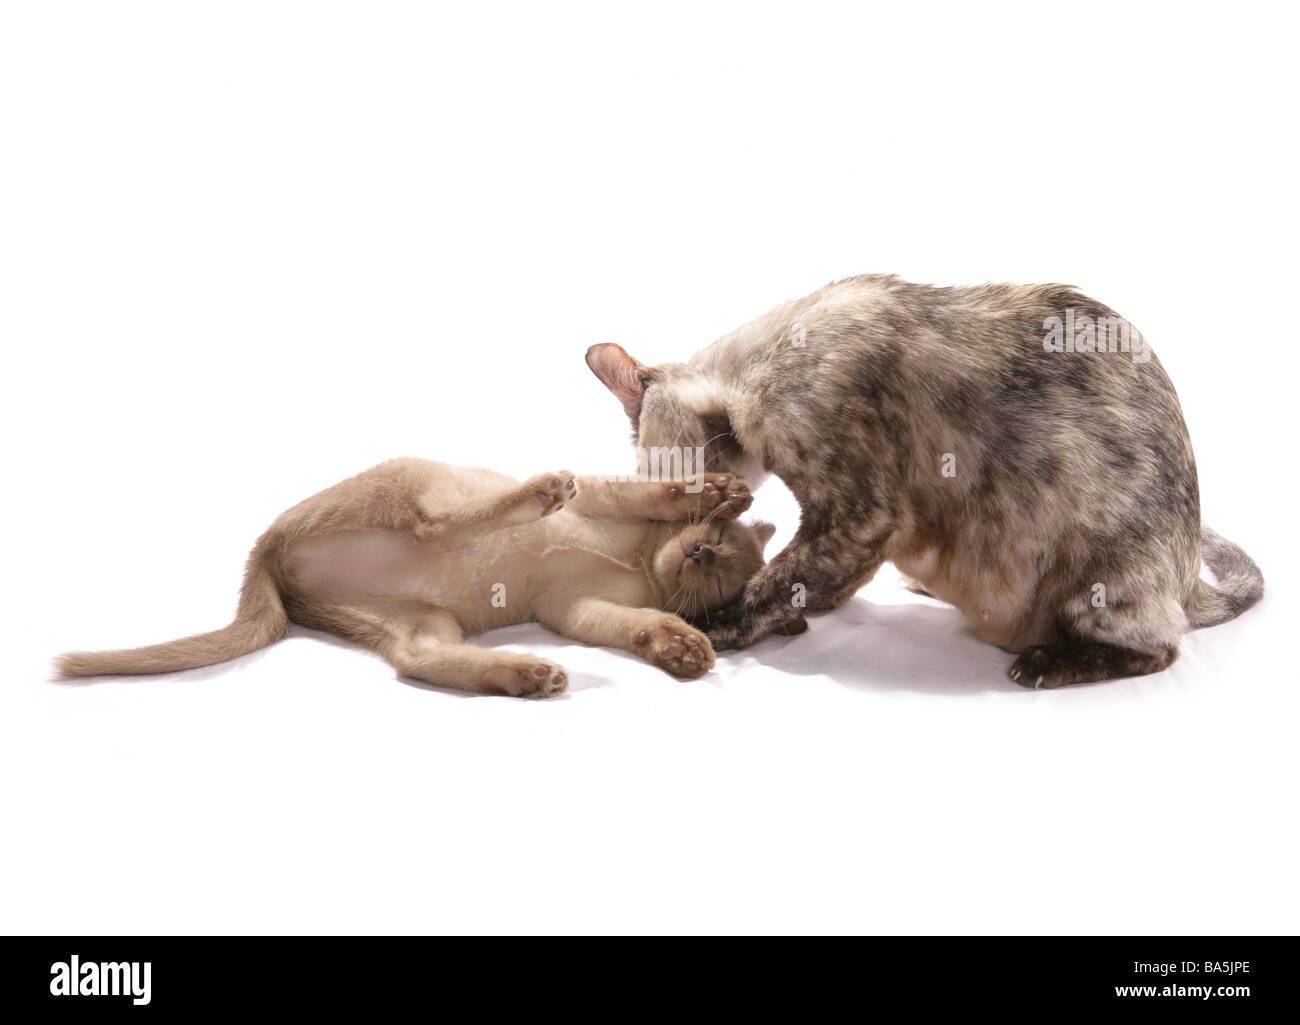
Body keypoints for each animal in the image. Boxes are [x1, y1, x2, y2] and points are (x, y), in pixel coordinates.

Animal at [58, 463, 769, 697]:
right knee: (442, 521)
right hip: (422, 479)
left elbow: (641, 626)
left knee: (414, 659)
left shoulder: (570, 609)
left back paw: (529, 675)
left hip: (424, 620)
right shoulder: (607, 500)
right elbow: (664, 491)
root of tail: (268, 552)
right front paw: (724, 491)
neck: (642, 563)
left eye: (724, 573)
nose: (700, 555)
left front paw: (682, 649)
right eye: (715, 544)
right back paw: (543, 492)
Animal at [587, 271, 1258, 686]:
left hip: (1102, 573)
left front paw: (713, 623)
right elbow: (814, 581)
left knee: (1160, 646)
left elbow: (779, 581)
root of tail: (1184, 575)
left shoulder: (860, 514)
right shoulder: (865, 535)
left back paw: (1049, 661)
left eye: (666, 483)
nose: (682, 531)